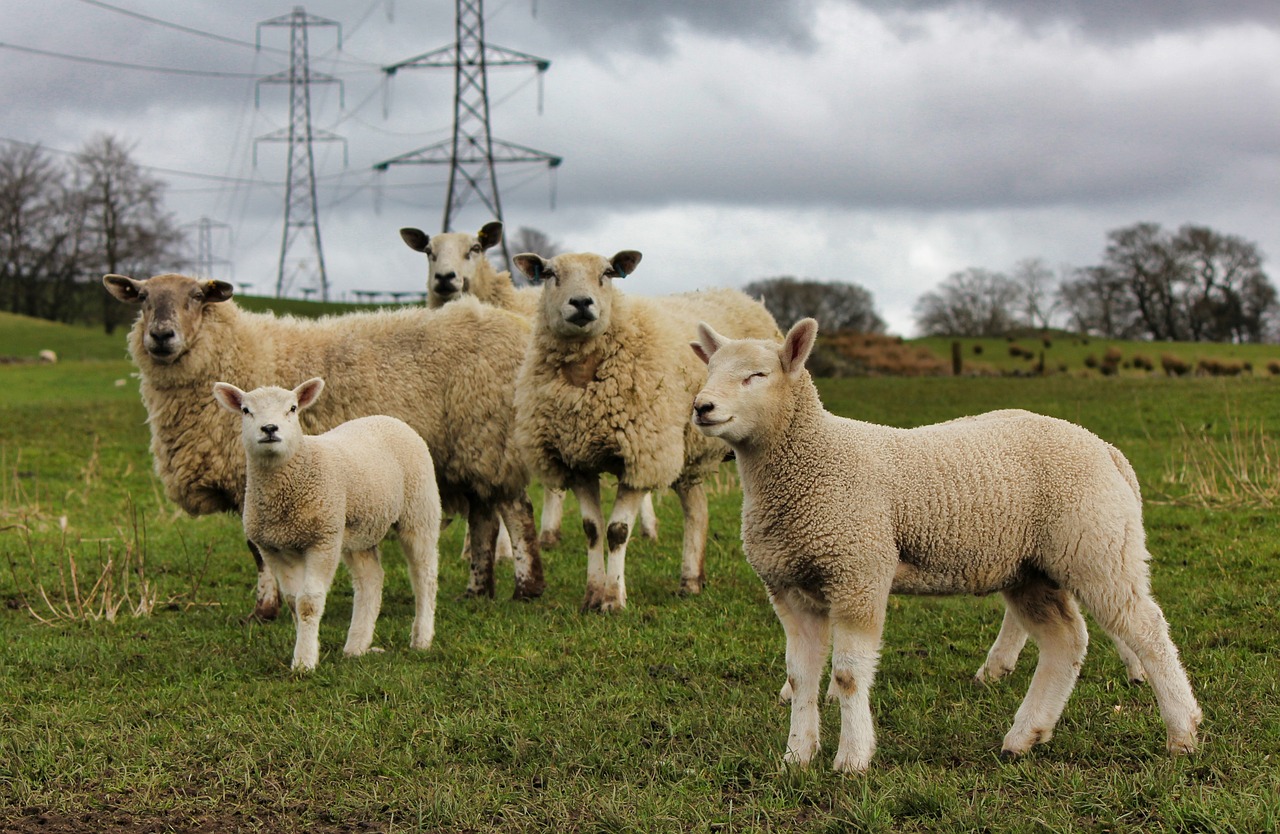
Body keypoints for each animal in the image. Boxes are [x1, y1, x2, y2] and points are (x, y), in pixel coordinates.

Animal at [99, 273, 540, 619]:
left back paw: (526, 589)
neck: (235, 351)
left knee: (516, 512)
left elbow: (258, 552)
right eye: (142, 297)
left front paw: (264, 610)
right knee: (484, 518)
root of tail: (519, 326)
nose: (160, 336)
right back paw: (477, 591)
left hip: (490, 437)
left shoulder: (254, 479)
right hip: (469, 453)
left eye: (196, 296)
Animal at [212, 378, 442, 670]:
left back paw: (421, 638)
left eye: (292, 408)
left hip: (419, 509)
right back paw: (357, 646)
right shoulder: (275, 548)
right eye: (245, 410)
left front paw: (304, 662)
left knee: (424, 574)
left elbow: (308, 602)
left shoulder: (322, 540)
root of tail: (388, 419)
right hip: (358, 528)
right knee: (370, 579)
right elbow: (293, 601)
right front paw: (305, 650)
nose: (269, 429)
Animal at [509, 249, 778, 611]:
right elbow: (592, 529)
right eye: (550, 274)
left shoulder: (642, 457)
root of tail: (742, 297)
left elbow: (617, 531)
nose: (581, 303)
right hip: (687, 451)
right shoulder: (576, 460)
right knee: (696, 508)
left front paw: (613, 599)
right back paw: (691, 580)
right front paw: (592, 596)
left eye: (607, 273)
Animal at [691, 317, 1198, 767]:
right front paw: (797, 756)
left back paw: (1183, 732)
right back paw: (1024, 736)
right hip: (1031, 568)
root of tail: (1106, 449)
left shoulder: (859, 571)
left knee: (1147, 630)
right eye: (709, 370)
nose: (702, 406)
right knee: (1066, 642)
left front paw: (852, 759)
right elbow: (801, 678)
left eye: (758, 375)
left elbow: (849, 675)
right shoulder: (791, 589)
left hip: (1096, 546)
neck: (814, 459)